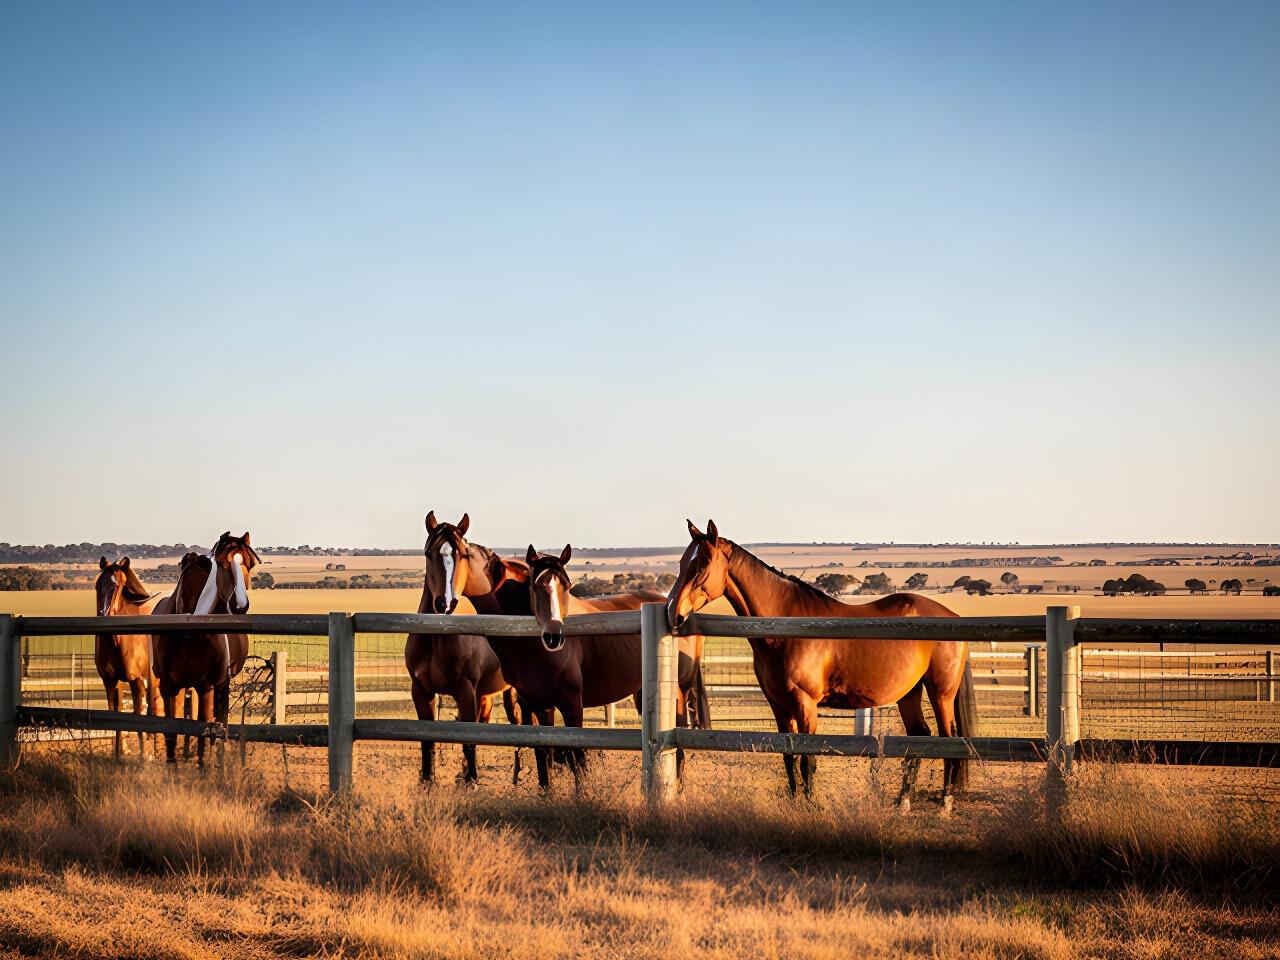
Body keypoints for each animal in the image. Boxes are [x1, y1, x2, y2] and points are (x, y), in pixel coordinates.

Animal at [94, 557, 163, 759]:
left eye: (117, 585)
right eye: (97, 585)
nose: (103, 614)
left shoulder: (136, 680)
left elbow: (138, 716)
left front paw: (143, 755)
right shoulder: (110, 681)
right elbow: (115, 715)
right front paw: (119, 753)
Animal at [151, 532, 259, 765]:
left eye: (250, 564)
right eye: (222, 563)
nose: (240, 606)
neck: (187, 631)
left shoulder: (206, 686)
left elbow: (202, 729)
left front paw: (203, 764)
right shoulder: (167, 687)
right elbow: (171, 729)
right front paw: (172, 764)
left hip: (222, 684)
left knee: (219, 720)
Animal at [412, 511, 523, 784]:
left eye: (463, 554)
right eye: (428, 553)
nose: (444, 603)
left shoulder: (465, 691)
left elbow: (468, 739)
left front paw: (472, 781)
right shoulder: (421, 691)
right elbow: (427, 741)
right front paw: (428, 781)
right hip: (486, 695)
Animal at [667, 520, 977, 808]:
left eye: (703, 563)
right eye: (682, 562)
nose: (673, 613)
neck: (786, 628)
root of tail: (953, 617)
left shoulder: (805, 704)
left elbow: (808, 759)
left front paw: (810, 804)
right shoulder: (780, 706)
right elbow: (790, 756)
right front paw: (796, 803)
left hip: (941, 693)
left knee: (949, 740)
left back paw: (945, 803)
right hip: (909, 693)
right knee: (919, 737)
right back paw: (903, 802)